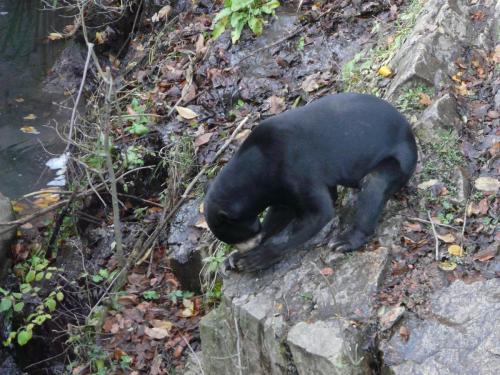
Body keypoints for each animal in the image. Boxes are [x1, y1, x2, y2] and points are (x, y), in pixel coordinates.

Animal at [203, 92, 418, 272]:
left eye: (240, 235)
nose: (248, 247)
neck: (259, 166)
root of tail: (410, 134)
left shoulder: (296, 167)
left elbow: (319, 212)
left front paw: (256, 258)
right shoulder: (278, 185)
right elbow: (282, 211)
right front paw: (233, 259)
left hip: (399, 159)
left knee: (374, 185)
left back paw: (344, 241)